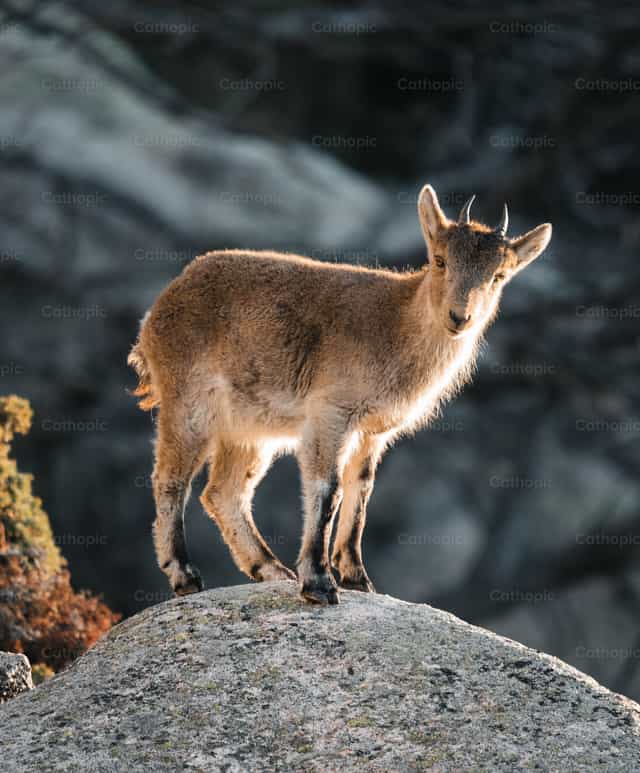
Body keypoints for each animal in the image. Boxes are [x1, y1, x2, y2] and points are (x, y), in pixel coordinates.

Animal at [128, 184, 552, 604]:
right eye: (440, 260)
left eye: (498, 275)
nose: (459, 317)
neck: (395, 325)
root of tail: (156, 312)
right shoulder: (331, 413)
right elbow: (327, 489)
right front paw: (319, 583)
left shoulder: (372, 431)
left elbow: (361, 491)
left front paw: (356, 578)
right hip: (189, 403)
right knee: (169, 480)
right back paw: (185, 575)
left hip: (250, 430)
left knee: (223, 493)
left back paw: (271, 570)